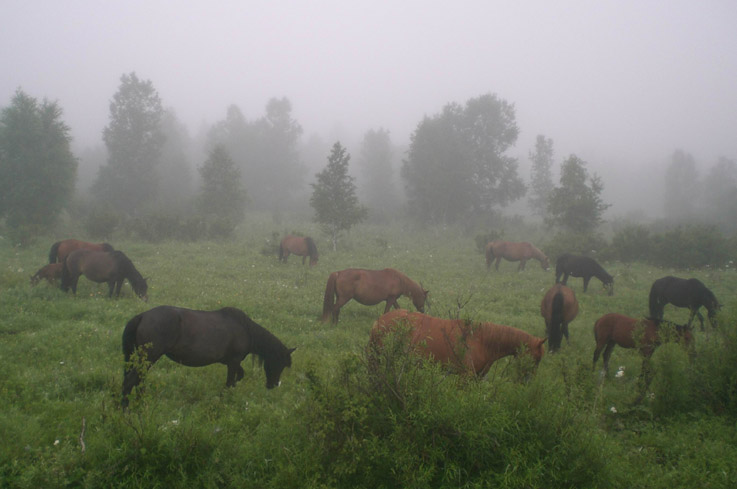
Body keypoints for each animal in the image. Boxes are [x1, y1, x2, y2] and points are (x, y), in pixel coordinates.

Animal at [120, 304, 294, 408]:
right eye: (280, 363)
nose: (273, 385)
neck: (245, 329)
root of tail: (142, 316)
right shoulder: (234, 361)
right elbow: (230, 381)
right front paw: (225, 398)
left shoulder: (232, 362)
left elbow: (239, 376)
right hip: (149, 357)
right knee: (131, 381)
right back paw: (126, 409)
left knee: (138, 380)